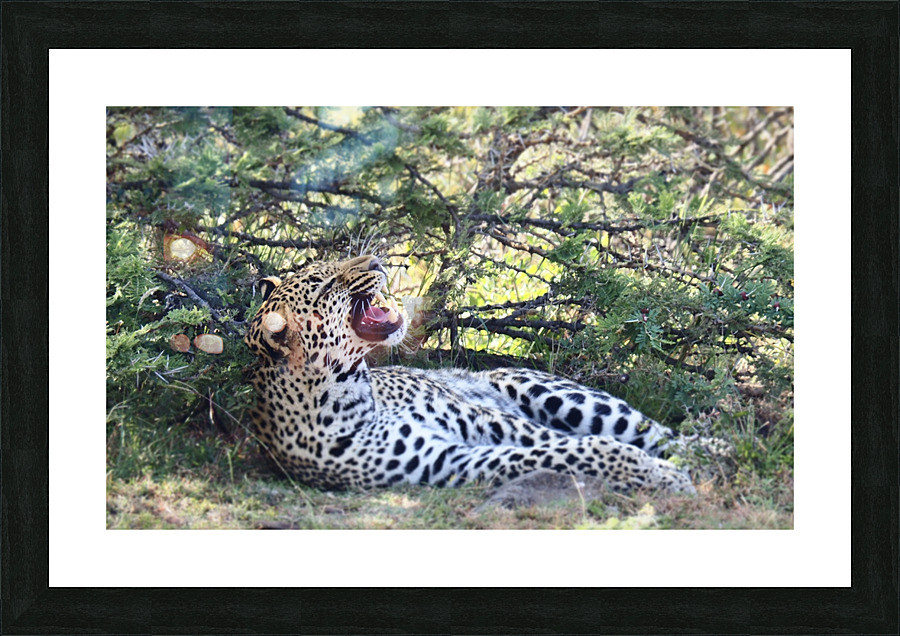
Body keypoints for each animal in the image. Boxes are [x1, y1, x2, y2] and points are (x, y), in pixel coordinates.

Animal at [244, 254, 696, 494]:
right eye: (325, 286)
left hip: (551, 392)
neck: (348, 392)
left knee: (663, 434)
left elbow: (563, 441)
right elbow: (565, 450)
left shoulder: (485, 420)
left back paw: (707, 452)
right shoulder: (448, 460)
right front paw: (653, 473)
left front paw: (662, 472)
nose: (376, 260)